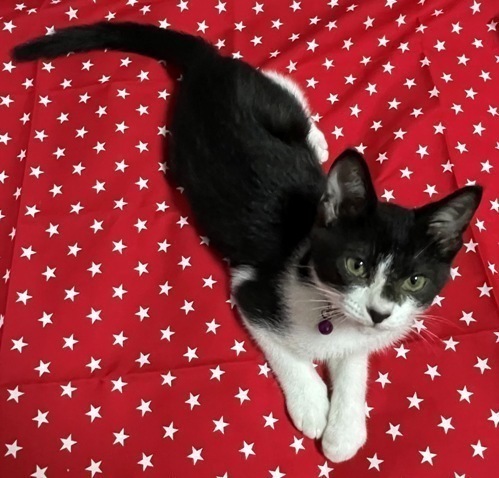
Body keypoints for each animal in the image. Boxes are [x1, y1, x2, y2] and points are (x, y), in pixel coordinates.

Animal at [13, 22, 482, 463]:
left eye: (415, 281)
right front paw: (312, 404)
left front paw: (344, 429)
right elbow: (284, 349)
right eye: (356, 265)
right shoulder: (250, 288)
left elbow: (353, 361)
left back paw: (319, 145)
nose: (379, 311)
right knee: (281, 88)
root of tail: (210, 65)